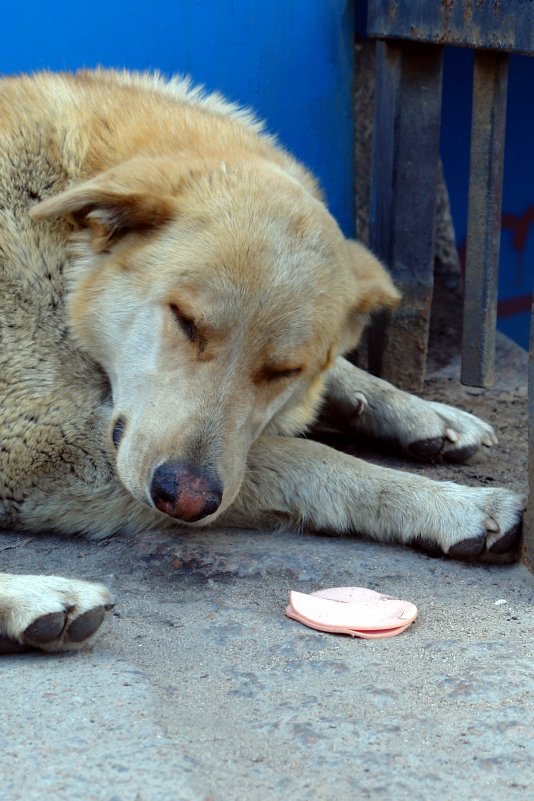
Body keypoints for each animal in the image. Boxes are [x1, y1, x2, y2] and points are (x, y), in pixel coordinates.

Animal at [0, 72, 524, 652]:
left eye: (282, 371)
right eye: (185, 321)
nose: (184, 499)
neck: (63, 249)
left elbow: (334, 383)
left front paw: (423, 412)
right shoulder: (40, 446)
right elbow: (307, 457)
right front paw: (450, 504)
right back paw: (35, 600)